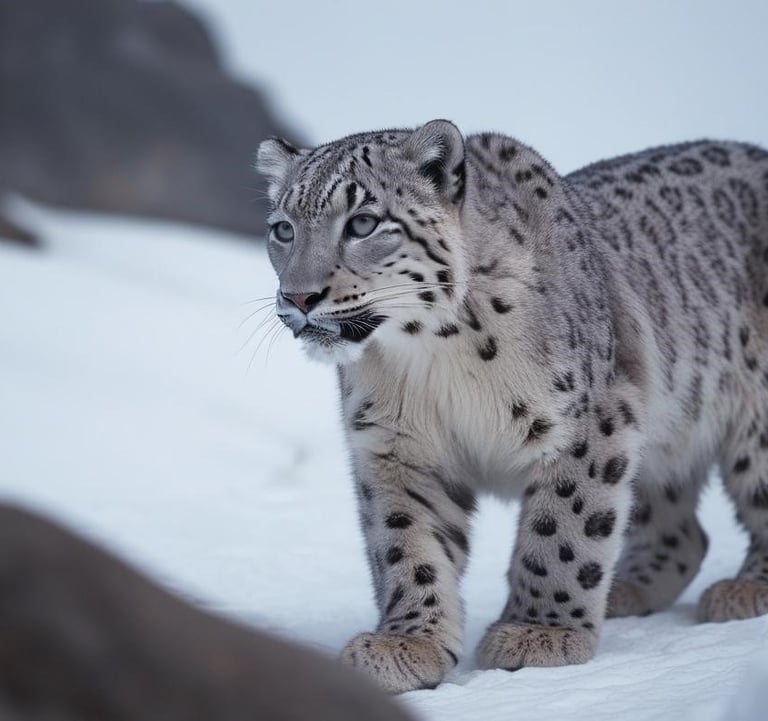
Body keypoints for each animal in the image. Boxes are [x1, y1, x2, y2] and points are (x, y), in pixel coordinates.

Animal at [256, 120, 768, 694]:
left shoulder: (589, 424)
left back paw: (741, 592)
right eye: (283, 229)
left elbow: (564, 528)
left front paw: (539, 633)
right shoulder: (395, 447)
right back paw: (622, 592)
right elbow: (405, 541)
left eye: (363, 223)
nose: (298, 297)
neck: (430, 358)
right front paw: (407, 643)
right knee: (681, 533)